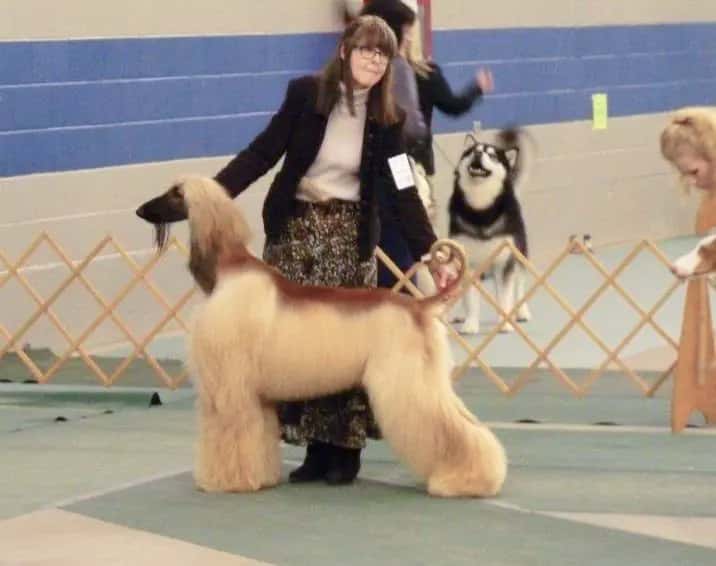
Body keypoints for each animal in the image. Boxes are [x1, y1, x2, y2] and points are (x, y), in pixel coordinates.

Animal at [448, 130, 532, 336]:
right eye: (472, 151)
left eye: (492, 155)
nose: (478, 154)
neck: (482, 209)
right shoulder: (469, 264)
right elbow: (471, 300)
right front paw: (470, 324)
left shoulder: (504, 262)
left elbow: (505, 297)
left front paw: (505, 324)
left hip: (518, 254)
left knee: (519, 285)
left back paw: (522, 312)